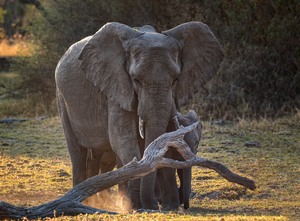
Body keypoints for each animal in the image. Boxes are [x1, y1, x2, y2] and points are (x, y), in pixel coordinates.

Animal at [55, 20, 223, 209]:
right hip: (62, 99)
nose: (151, 205)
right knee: (78, 153)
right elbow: (123, 139)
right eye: (135, 80)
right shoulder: (117, 86)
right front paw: (136, 205)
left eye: (175, 80)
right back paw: (85, 200)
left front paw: (165, 206)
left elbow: (164, 140)